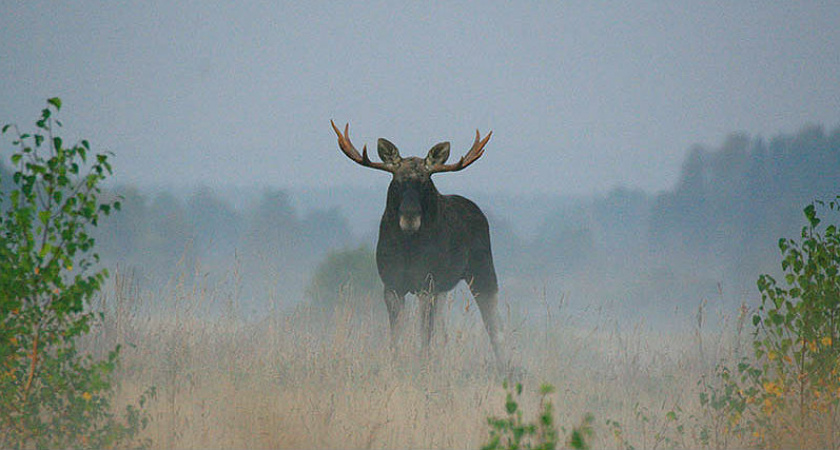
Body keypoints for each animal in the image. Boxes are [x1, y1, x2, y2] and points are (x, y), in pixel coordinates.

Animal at [332, 120, 508, 370]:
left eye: (425, 183)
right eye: (396, 182)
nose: (409, 218)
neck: (408, 250)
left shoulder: (427, 283)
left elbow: (424, 334)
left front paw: (422, 363)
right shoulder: (392, 284)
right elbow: (397, 335)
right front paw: (397, 361)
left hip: (482, 270)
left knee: (494, 325)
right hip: (445, 288)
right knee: (445, 332)